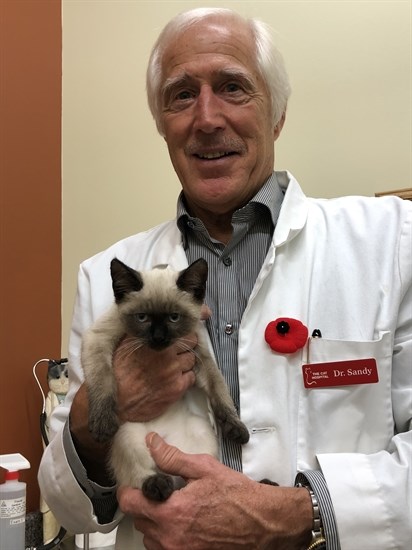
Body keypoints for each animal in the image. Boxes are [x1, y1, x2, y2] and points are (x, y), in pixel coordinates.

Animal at [80, 258, 248, 504]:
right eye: (142, 317)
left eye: (173, 317)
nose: (158, 337)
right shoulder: (98, 339)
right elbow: (103, 380)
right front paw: (102, 425)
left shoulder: (198, 354)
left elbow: (220, 390)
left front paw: (235, 427)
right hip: (128, 433)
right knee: (136, 476)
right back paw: (157, 485)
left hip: (200, 430)